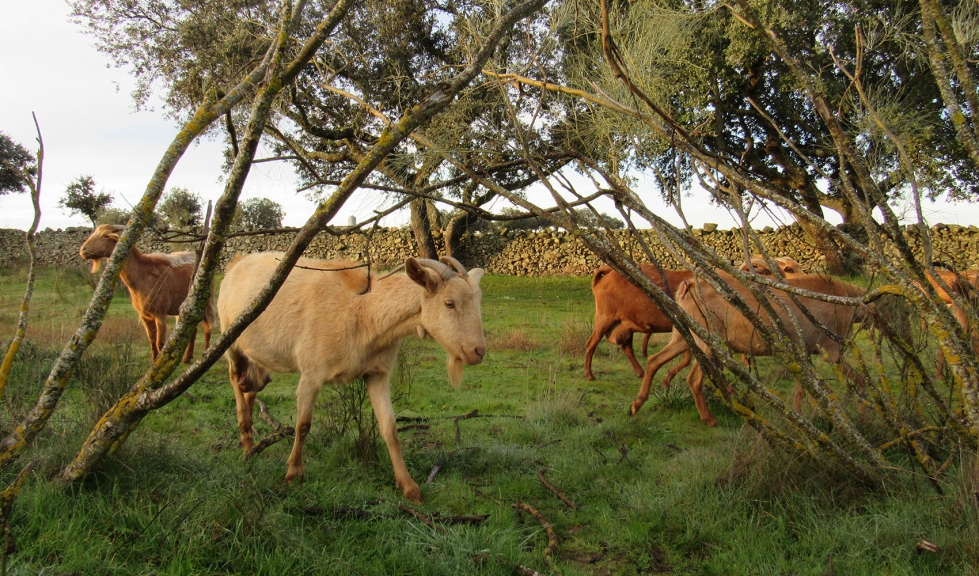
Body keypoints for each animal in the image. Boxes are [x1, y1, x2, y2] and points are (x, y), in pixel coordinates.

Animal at [79, 223, 214, 362]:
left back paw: (205, 353)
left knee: (207, 327)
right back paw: (187, 357)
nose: (83, 250)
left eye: (105, 235)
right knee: (192, 328)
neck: (143, 274)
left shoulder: (160, 314)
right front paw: (154, 361)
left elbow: (160, 343)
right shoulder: (145, 315)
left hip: (205, 301)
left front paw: (158, 363)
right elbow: (152, 341)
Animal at [218, 253, 486, 504]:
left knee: (249, 387)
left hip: (260, 361)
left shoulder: (377, 374)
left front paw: (409, 488)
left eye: (477, 302)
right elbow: (303, 425)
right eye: (449, 303)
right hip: (230, 341)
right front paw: (293, 475)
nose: (478, 351)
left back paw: (251, 444)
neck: (363, 312)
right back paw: (247, 447)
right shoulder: (311, 375)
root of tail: (236, 263)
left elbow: (390, 429)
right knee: (235, 382)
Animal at [628, 272, 864, 428]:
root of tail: (688, 286)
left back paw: (636, 404)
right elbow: (857, 378)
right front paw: (863, 409)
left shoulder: (802, 353)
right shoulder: (831, 349)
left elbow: (801, 387)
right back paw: (709, 419)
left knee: (654, 359)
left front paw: (798, 415)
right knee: (693, 379)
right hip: (708, 337)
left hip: (683, 335)